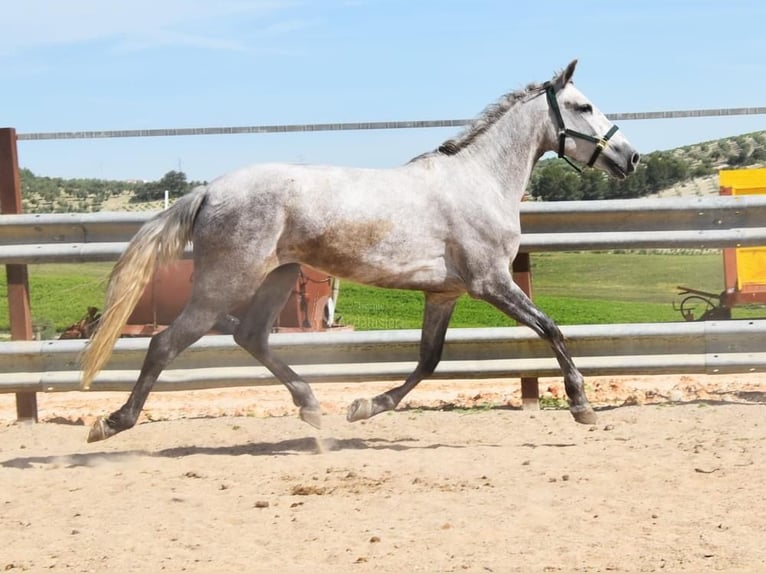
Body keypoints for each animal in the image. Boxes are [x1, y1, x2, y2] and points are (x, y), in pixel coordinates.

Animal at [81, 60, 640, 444]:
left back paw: (311, 407)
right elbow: (551, 328)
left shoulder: (444, 293)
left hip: (277, 277)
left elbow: (429, 360)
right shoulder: (490, 282)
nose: (630, 156)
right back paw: (112, 422)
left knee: (251, 336)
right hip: (225, 284)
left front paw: (365, 406)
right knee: (166, 343)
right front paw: (581, 403)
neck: (478, 181)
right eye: (584, 106)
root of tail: (209, 191)